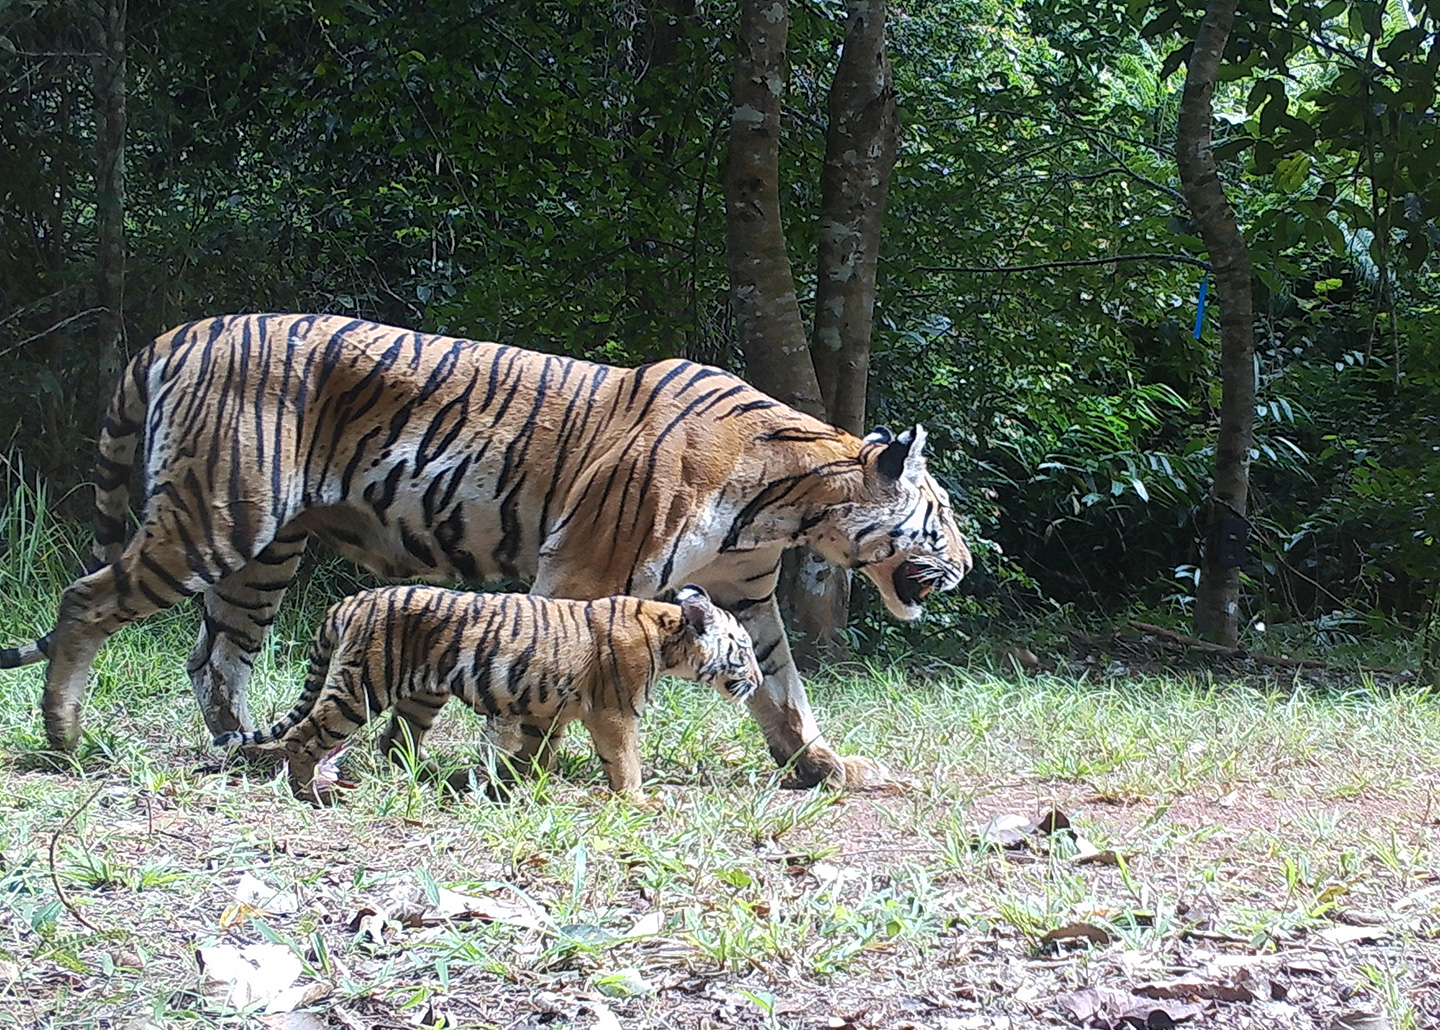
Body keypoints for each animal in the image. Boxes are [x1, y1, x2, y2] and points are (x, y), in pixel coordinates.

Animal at [2, 314, 967, 789]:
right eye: (944, 513)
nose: (967, 564)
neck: (787, 506)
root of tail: (175, 334)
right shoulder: (585, 565)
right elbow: (548, 656)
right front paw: (524, 760)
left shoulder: (747, 599)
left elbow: (784, 694)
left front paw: (826, 769)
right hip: (212, 519)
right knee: (87, 600)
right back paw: (66, 739)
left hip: (261, 557)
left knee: (215, 660)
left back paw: (249, 749)